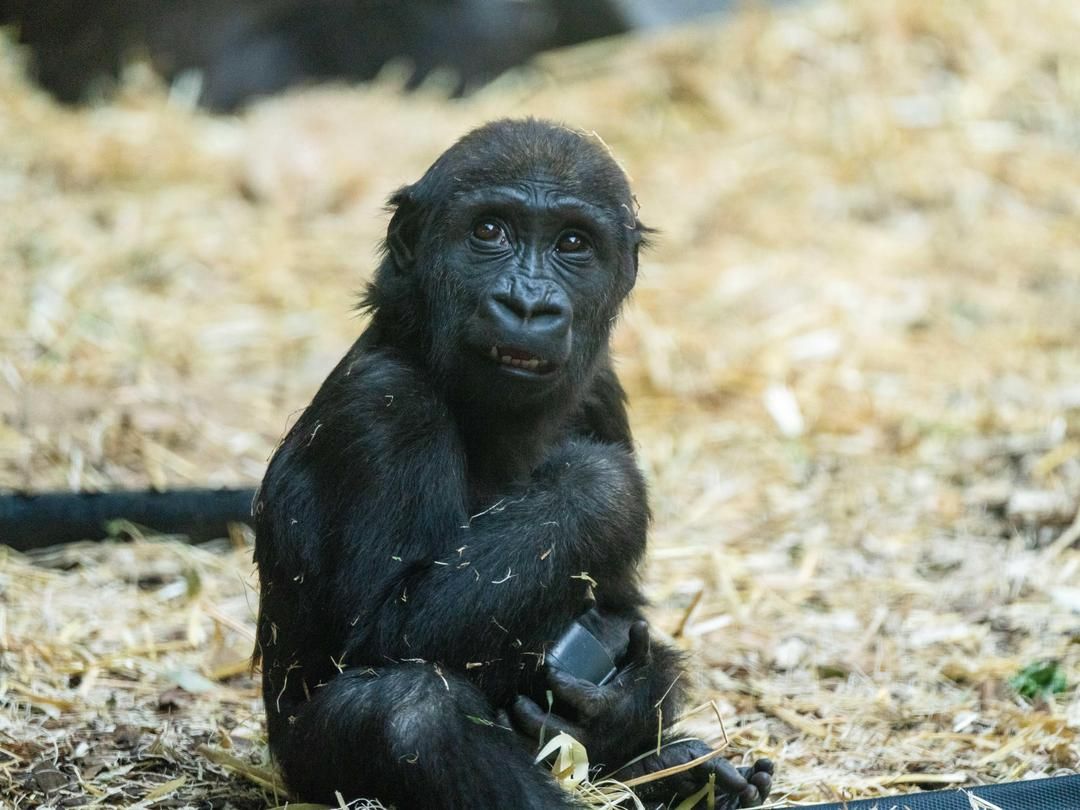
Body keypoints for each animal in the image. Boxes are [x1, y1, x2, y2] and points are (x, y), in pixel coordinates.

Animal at [250, 117, 777, 807]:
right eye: (489, 231)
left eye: (573, 243)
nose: (528, 305)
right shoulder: (386, 405)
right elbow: (384, 631)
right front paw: (601, 490)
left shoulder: (601, 391)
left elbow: (622, 609)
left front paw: (624, 702)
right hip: (304, 774)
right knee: (408, 709)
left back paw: (678, 773)